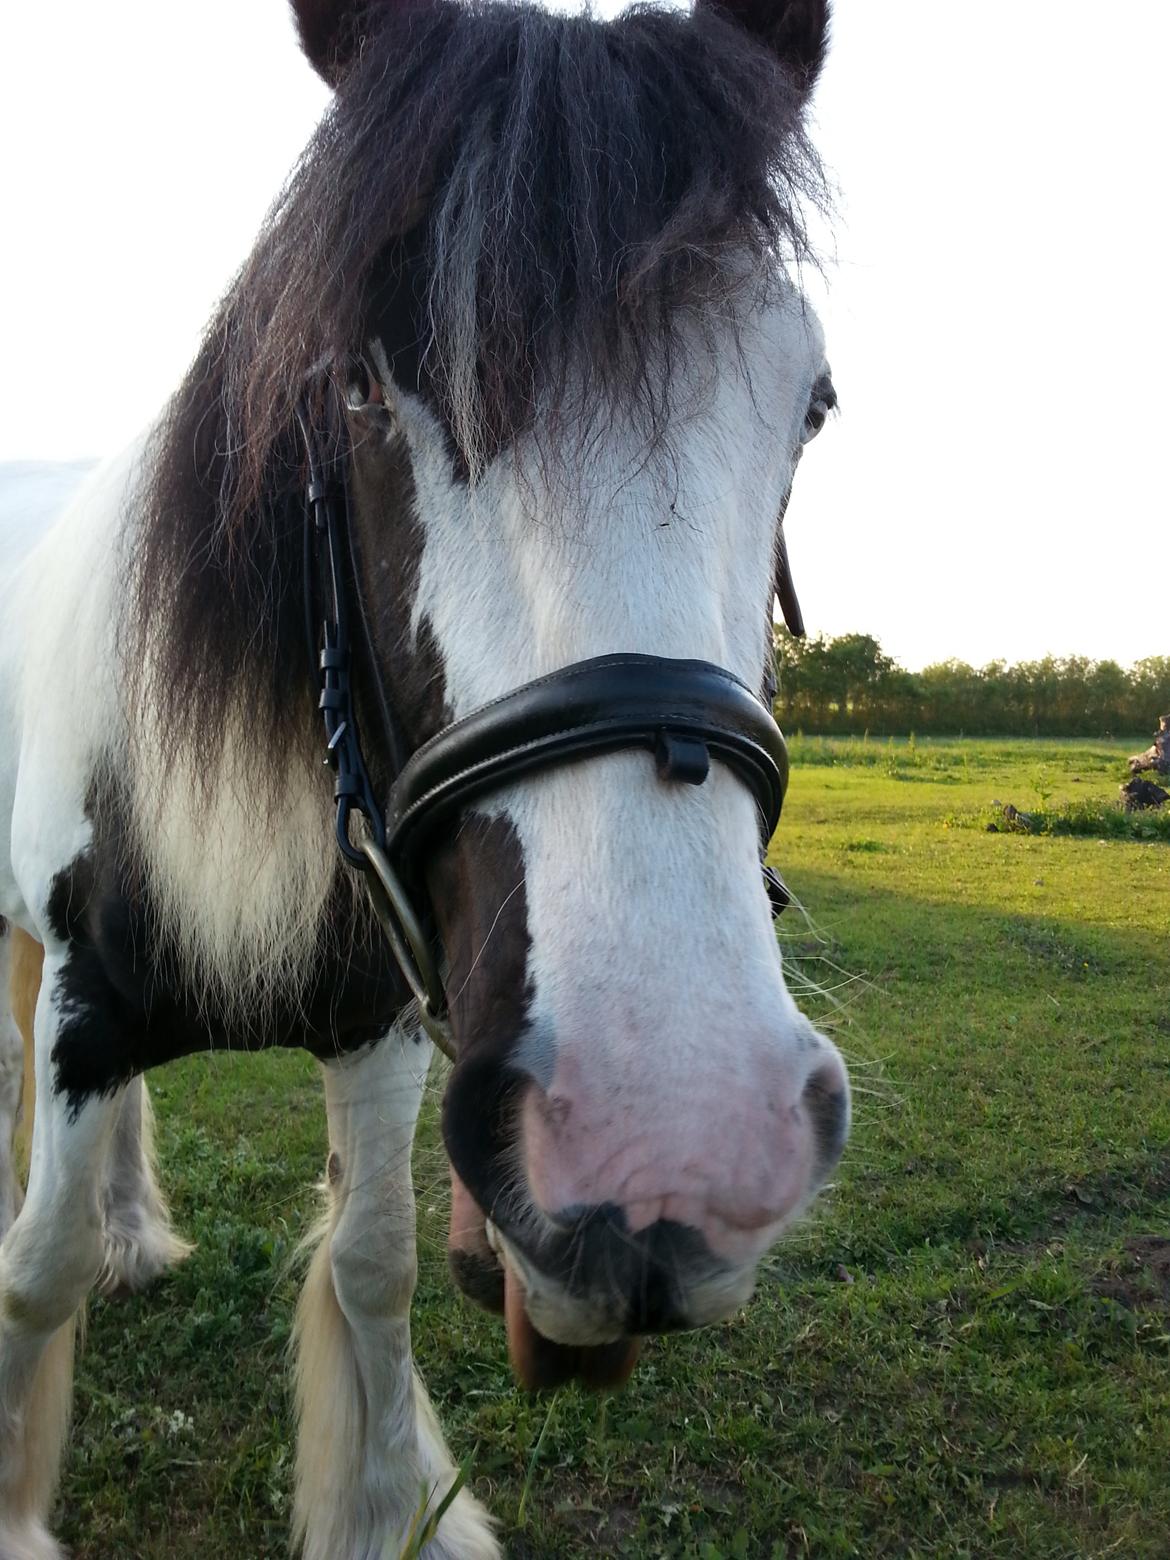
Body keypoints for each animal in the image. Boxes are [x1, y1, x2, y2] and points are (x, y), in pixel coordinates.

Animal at [0, 0, 848, 1553]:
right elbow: (37, 1273)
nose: (673, 1138)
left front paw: (387, 1507)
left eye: (809, 402)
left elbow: (372, 1267)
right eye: (354, 382)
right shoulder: (85, 1007)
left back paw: (138, 1229)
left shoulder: (382, 1019)